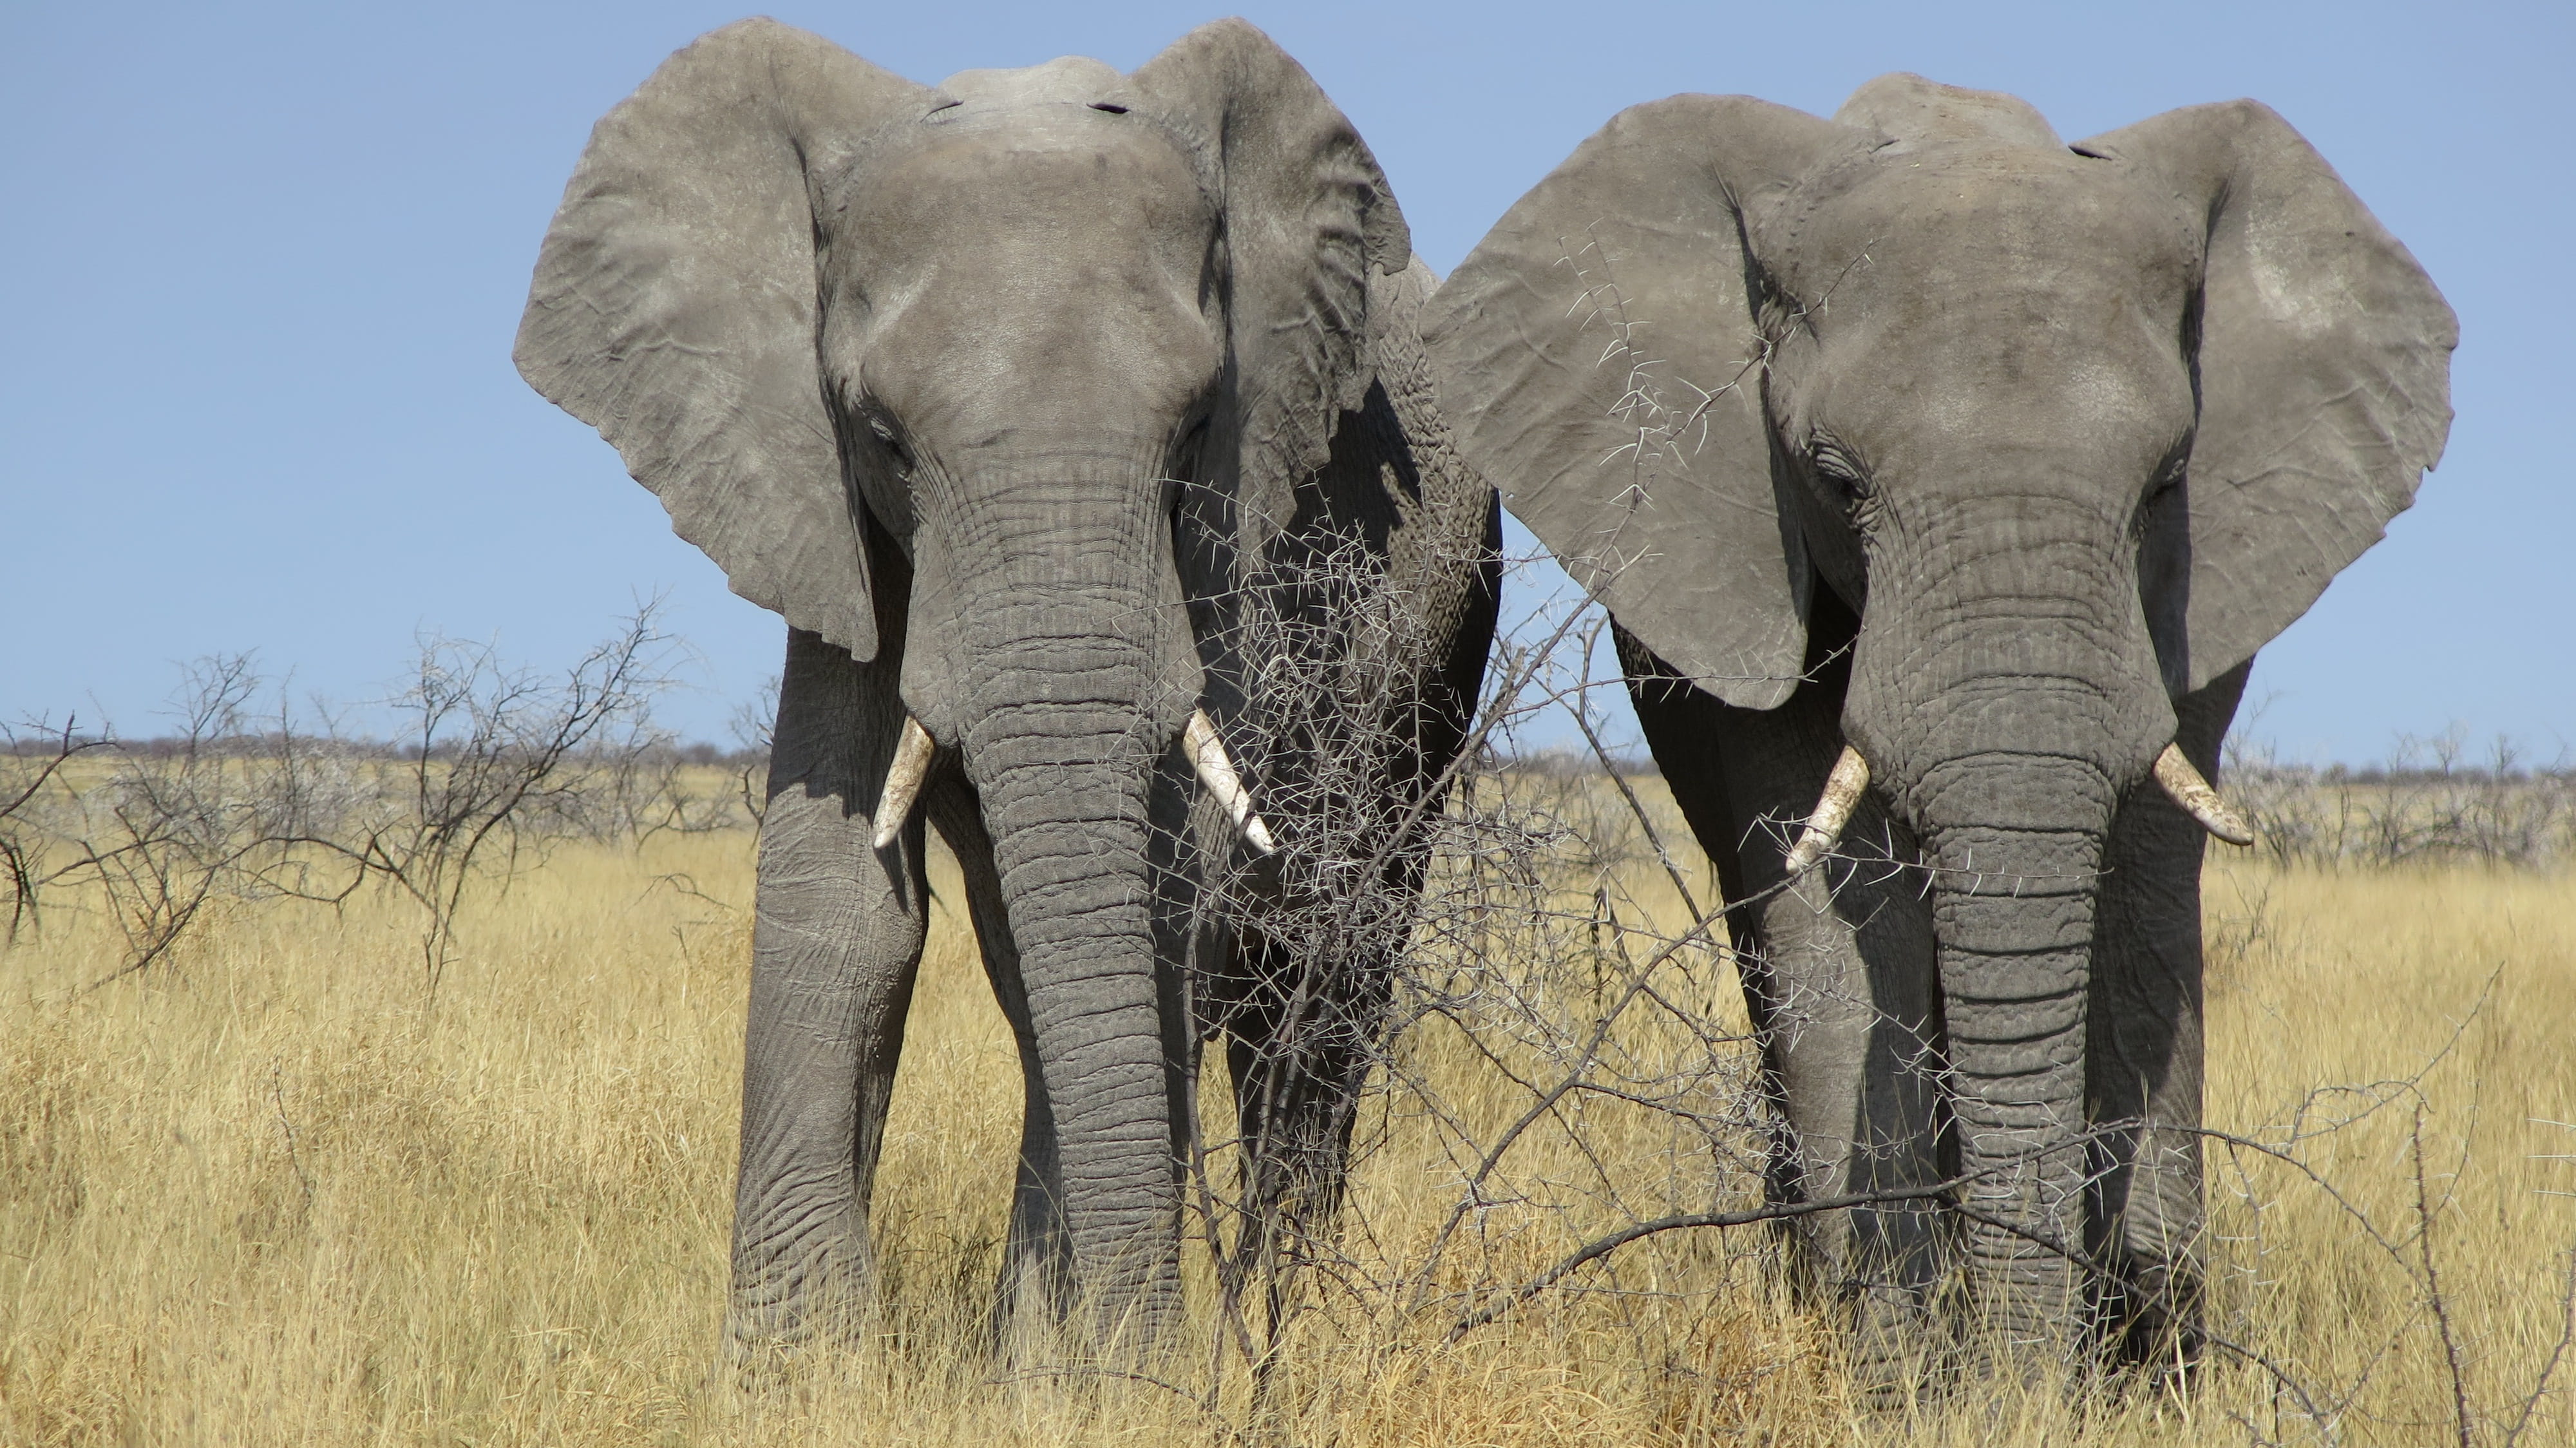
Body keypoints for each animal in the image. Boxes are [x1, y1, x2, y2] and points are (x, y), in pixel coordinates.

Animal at [515, 19, 1498, 1358]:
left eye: (1198, 426)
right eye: (882, 436)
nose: (1152, 1351)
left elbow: (1163, 888)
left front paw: (1072, 1375)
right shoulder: (832, 517)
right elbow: (841, 886)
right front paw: (803, 1368)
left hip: (1438, 643)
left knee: (1323, 971)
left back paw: (1273, 1337)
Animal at [1425, 73, 2452, 1387]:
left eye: (2166, 483)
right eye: (1835, 479)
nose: (2028, 1384)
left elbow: (2143, 884)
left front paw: (2137, 1362)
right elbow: (1834, 892)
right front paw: (1899, 1362)